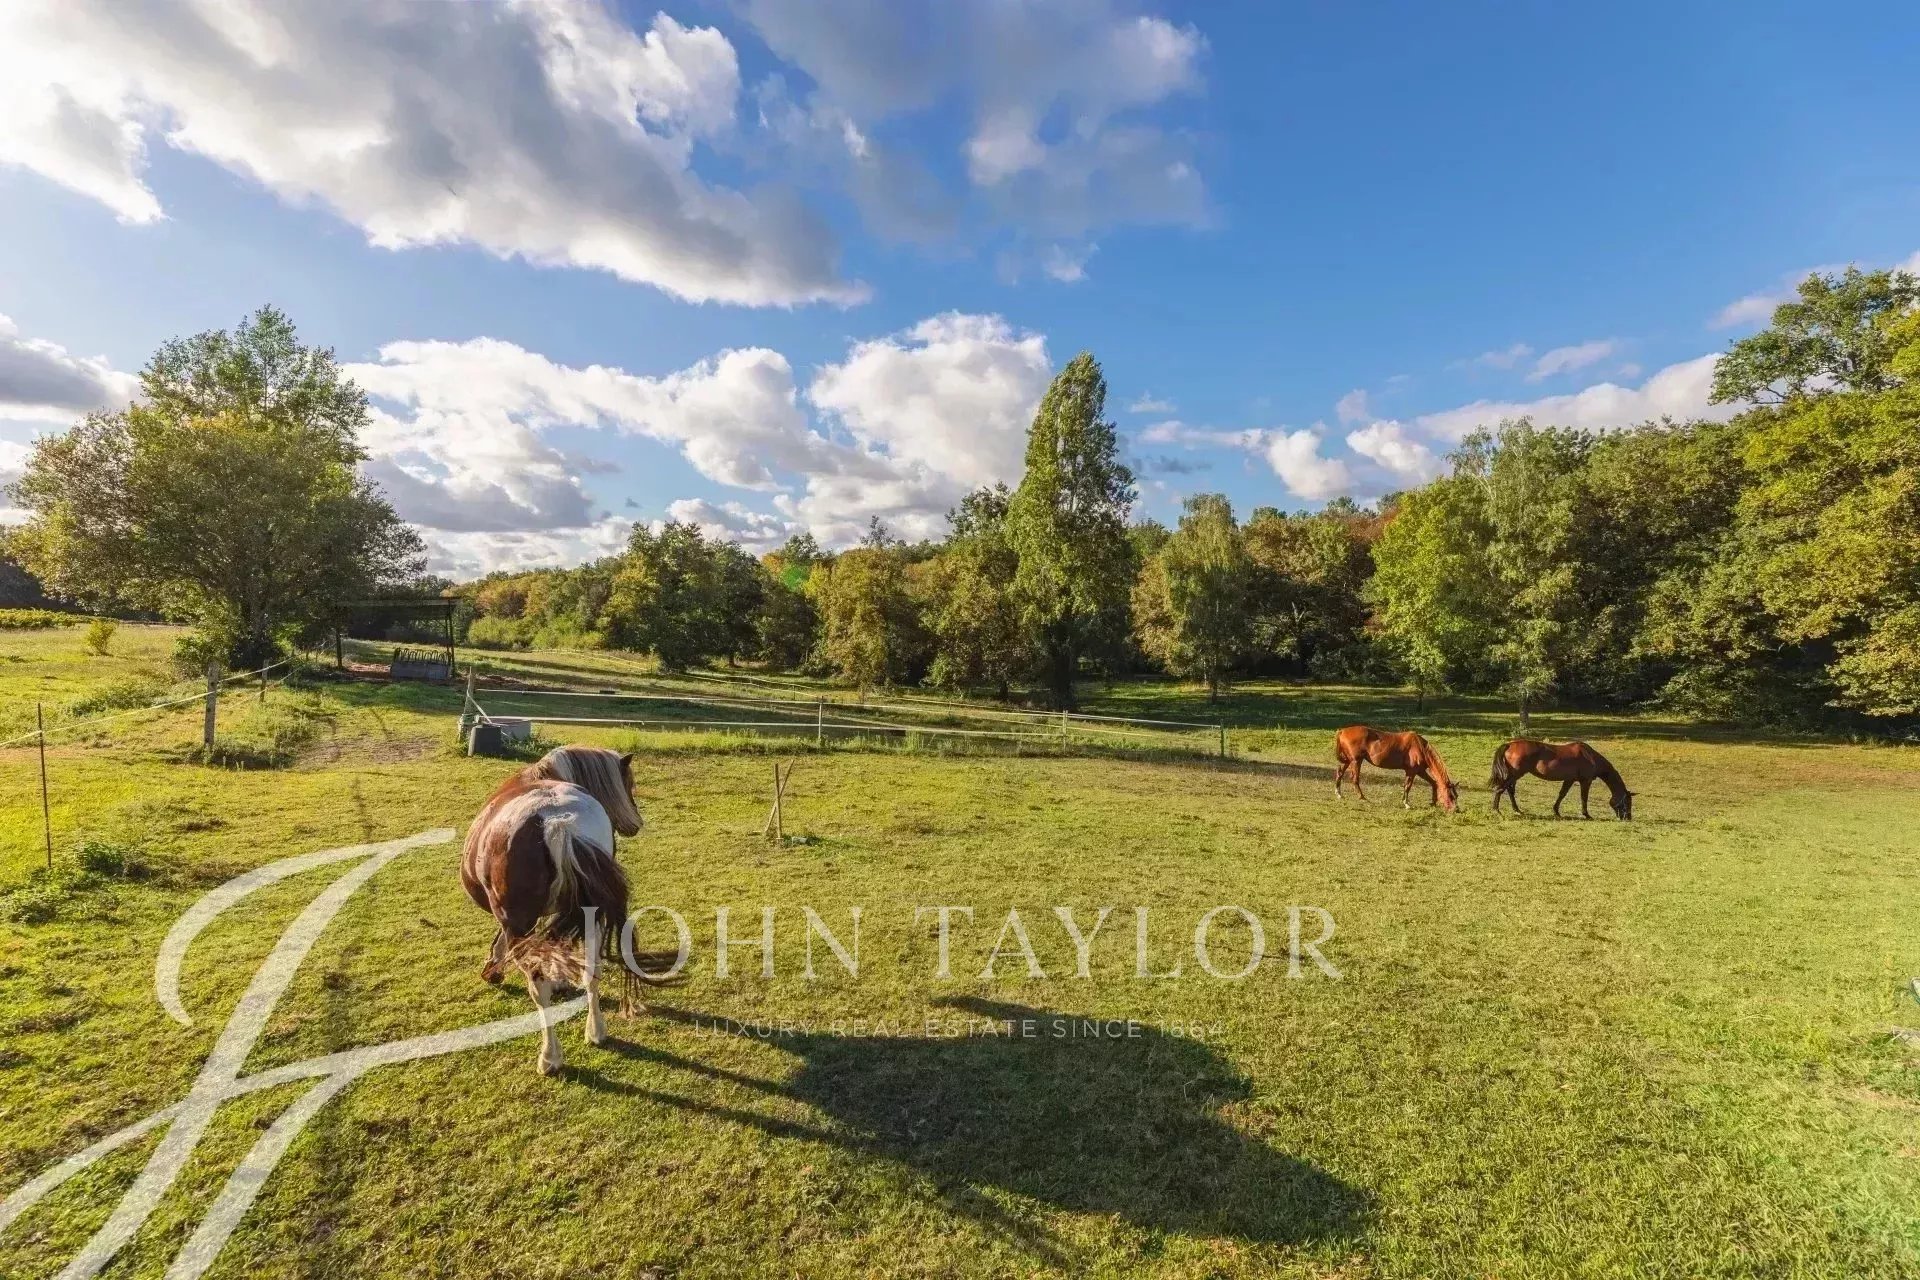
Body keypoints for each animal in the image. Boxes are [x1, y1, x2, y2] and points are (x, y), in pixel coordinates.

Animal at [460, 744, 652, 1075]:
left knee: (539, 989)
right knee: (592, 970)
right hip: (592, 917)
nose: (636, 823)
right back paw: (596, 1031)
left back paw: (550, 1057)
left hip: (520, 924)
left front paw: (495, 966)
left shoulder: (514, 921)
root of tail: (559, 823)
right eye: (628, 782)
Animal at [1489, 739, 1634, 819]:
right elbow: (1584, 797)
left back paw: (1517, 810)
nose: (1628, 817)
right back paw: (1497, 811)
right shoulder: (1585, 781)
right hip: (1514, 774)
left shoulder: (1569, 780)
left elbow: (1561, 795)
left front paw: (1556, 812)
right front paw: (1586, 814)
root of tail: (1509, 744)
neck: (1591, 757)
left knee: (1509, 790)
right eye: (1627, 801)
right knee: (1500, 789)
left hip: (1514, 775)